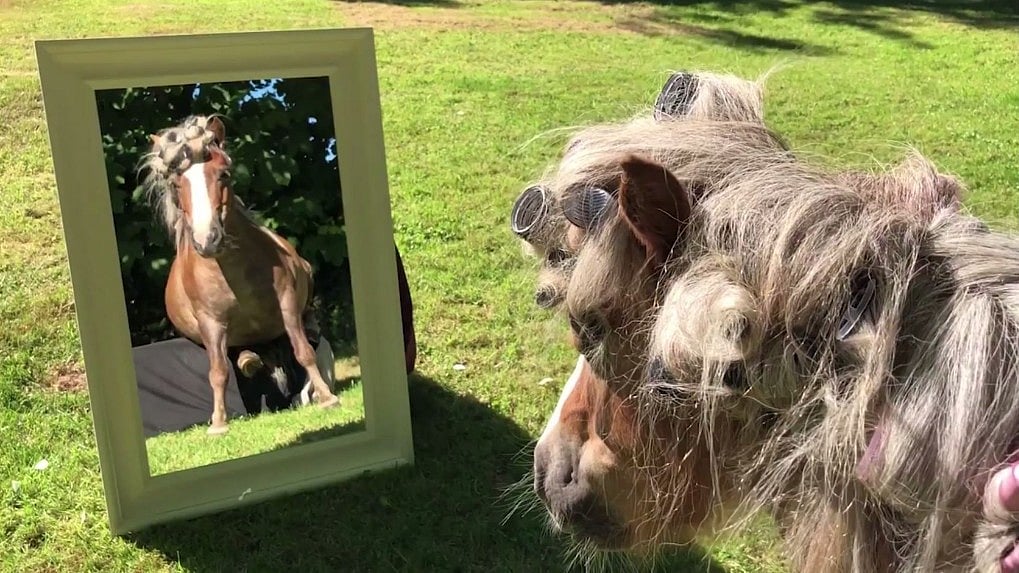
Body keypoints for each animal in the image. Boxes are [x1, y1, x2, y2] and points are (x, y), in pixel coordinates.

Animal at [138, 114, 339, 435]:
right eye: (176, 182)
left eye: (224, 174)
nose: (207, 240)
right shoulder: (211, 324)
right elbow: (218, 371)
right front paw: (219, 424)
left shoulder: (287, 303)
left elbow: (303, 350)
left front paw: (327, 397)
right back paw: (248, 361)